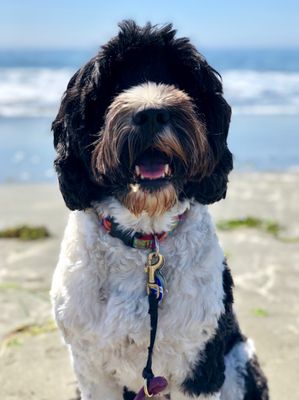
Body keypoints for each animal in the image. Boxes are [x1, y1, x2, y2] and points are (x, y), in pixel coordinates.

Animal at [50, 21, 270, 400]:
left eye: (181, 80)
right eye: (114, 85)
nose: (151, 112)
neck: (145, 239)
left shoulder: (199, 368)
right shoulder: (92, 371)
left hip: (240, 364)